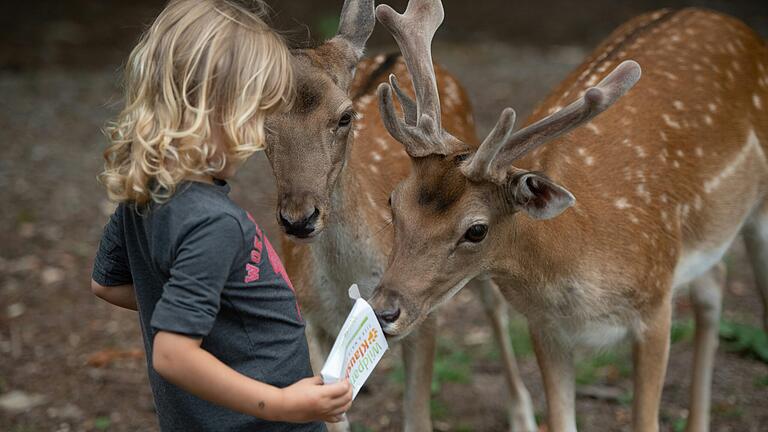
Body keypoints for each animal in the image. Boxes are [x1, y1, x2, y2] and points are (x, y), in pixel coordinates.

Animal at [262, 0, 536, 432]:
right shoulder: (307, 316)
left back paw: (523, 415)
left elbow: (417, 416)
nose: (299, 219)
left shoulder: (424, 315)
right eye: (261, 121)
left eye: (344, 117)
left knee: (495, 308)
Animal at [366, 3, 768, 432]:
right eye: (393, 200)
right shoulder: (545, 327)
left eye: (476, 230)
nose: (383, 311)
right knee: (715, 279)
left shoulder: (656, 305)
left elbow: (646, 420)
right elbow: (561, 419)